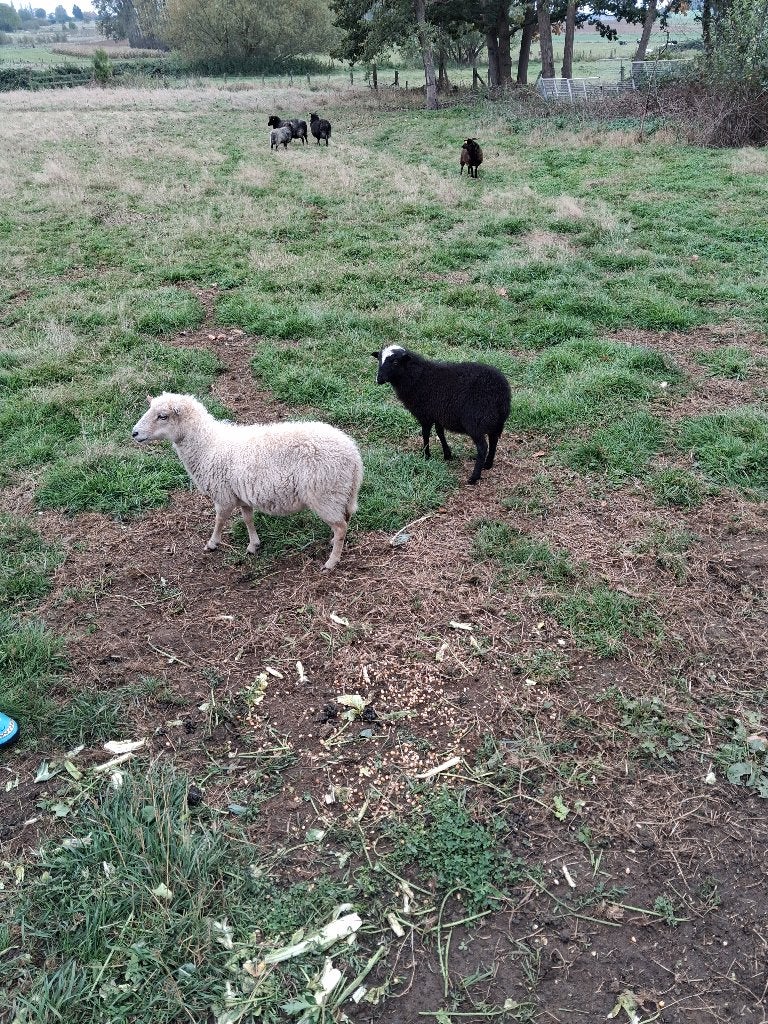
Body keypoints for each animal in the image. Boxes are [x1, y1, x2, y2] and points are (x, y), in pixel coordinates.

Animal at [131, 393, 363, 570]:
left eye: (163, 416)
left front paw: (212, 543)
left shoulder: (223, 495)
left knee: (341, 526)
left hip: (324, 494)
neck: (208, 445)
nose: (134, 433)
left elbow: (220, 520)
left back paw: (331, 562)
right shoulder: (241, 494)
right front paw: (253, 545)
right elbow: (247, 519)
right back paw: (334, 543)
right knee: (345, 519)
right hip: (340, 493)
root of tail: (354, 455)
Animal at [371, 346, 510, 485]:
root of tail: (501, 391)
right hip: (496, 420)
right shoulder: (438, 413)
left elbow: (425, 434)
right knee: (493, 440)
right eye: (379, 359)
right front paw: (447, 454)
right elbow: (440, 432)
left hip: (475, 421)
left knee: (482, 447)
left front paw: (426, 455)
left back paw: (474, 477)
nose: (379, 379)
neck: (417, 378)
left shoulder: (425, 415)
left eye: (395, 362)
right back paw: (488, 464)